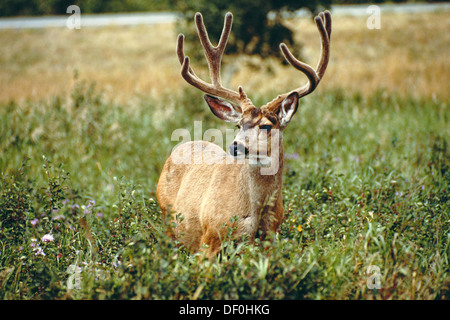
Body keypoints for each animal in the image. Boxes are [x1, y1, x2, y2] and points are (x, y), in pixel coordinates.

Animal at [157, 11, 330, 258]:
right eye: (239, 124)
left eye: (266, 126)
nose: (235, 146)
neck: (255, 214)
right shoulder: (209, 238)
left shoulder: (270, 239)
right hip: (167, 221)